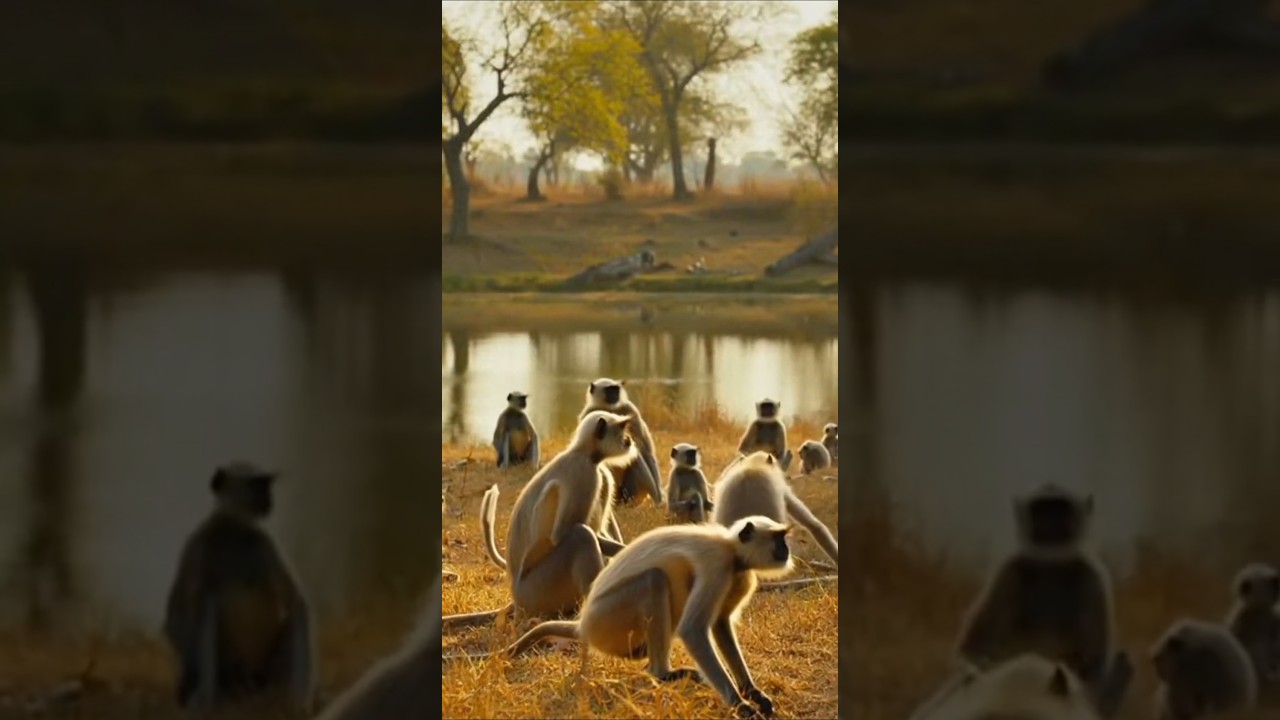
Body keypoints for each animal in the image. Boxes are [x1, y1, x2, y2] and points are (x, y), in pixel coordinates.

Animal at [163, 462, 313, 714]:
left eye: (266, 484)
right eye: (257, 485)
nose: (268, 499)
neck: (233, 528)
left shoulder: (265, 543)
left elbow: (297, 602)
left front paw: (299, 698)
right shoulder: (196, 546)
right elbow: (175, 616)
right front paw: (191, 684)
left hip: (267, 670)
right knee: (207, 602)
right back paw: (219, 688)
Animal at [443, 410, 633, 631]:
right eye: (622, 428)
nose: (628, 440)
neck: (584, 453)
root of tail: (517, 598)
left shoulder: (600, 473)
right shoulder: (586, 473)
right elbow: (563, 533)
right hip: (537, 591)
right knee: (581, 535)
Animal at [447, 516, 796, 719]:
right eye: (779, 539)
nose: (787, 551)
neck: (733, 552)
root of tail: (583, 622)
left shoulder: (738, 575)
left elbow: (721, 624)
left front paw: (753, 693)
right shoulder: (717, 566)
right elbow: (695, 630)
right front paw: (740, 705)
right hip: (609, 618)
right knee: (654, 580)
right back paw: (662, 674)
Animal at [579, 377, 664, 506]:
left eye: (616, 389)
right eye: (609, 390)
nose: (614, 395)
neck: (610, 409)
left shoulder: (631, 409)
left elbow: (647, 452)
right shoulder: (588, 413)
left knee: (637, 456)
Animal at [956, 484, 1132, 719]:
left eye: (1060, 510)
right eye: (1041, 510)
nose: (1051, 521)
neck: (1052, 566)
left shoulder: (1093, 577)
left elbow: (1093, 664)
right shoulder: (1010, 569)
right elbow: (973, 645)